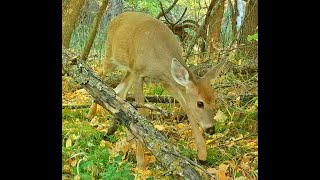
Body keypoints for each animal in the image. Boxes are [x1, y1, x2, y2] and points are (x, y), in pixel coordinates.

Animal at [87, 11, 228, 168]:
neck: (158, 59)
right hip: (111, 57)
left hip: (129, 68)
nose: (211, 129)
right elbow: (142, 112)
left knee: (120, 91)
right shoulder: (139, 73)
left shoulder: (165, 80)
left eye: (215, 101)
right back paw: (91, 114)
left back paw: (125, 133)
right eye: (200, 103)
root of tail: (115, 18)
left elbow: (185, 105)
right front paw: (141, 162)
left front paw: (202, 154)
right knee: (99, 74)